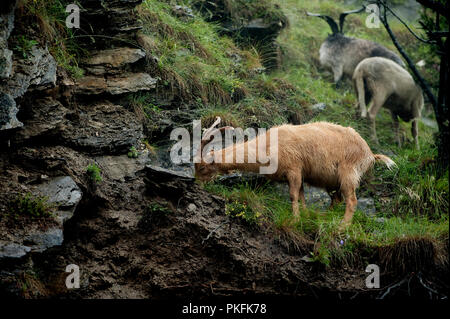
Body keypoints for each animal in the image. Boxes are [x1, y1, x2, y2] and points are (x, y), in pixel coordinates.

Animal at [195, 119, 396, 229]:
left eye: (202, 168)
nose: (198, 185)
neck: (267, 145)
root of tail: (369, 154)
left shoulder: (294, 169)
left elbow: (293, 195)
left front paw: (295, 219)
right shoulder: (299, 175)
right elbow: (301, 195)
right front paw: (305, 216)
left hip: (348, 173)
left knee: (352, 201)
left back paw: (341, 227)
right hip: (333, 182)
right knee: (337, 199)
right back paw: (325, 217)